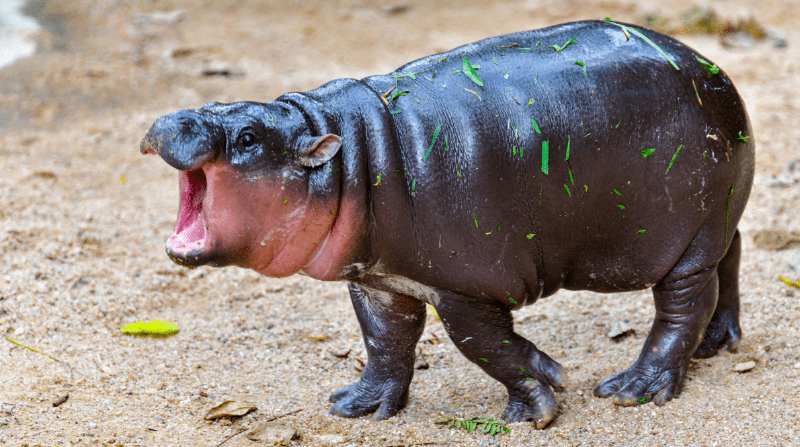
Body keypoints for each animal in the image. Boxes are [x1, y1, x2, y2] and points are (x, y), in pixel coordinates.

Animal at [140, 20, 754, 428]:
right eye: (216, 102)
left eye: (248, 136)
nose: (171, 119)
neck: (349, 156)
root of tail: (715, 72)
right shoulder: (377, 279)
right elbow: (384, 340)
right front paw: (357, 406)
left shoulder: (467, 288)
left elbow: (486, 346)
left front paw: (538, 402)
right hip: (717, 220)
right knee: (732, 259)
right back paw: (716, 345)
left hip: (686, 240)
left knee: (683, 305)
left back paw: (634, 389)